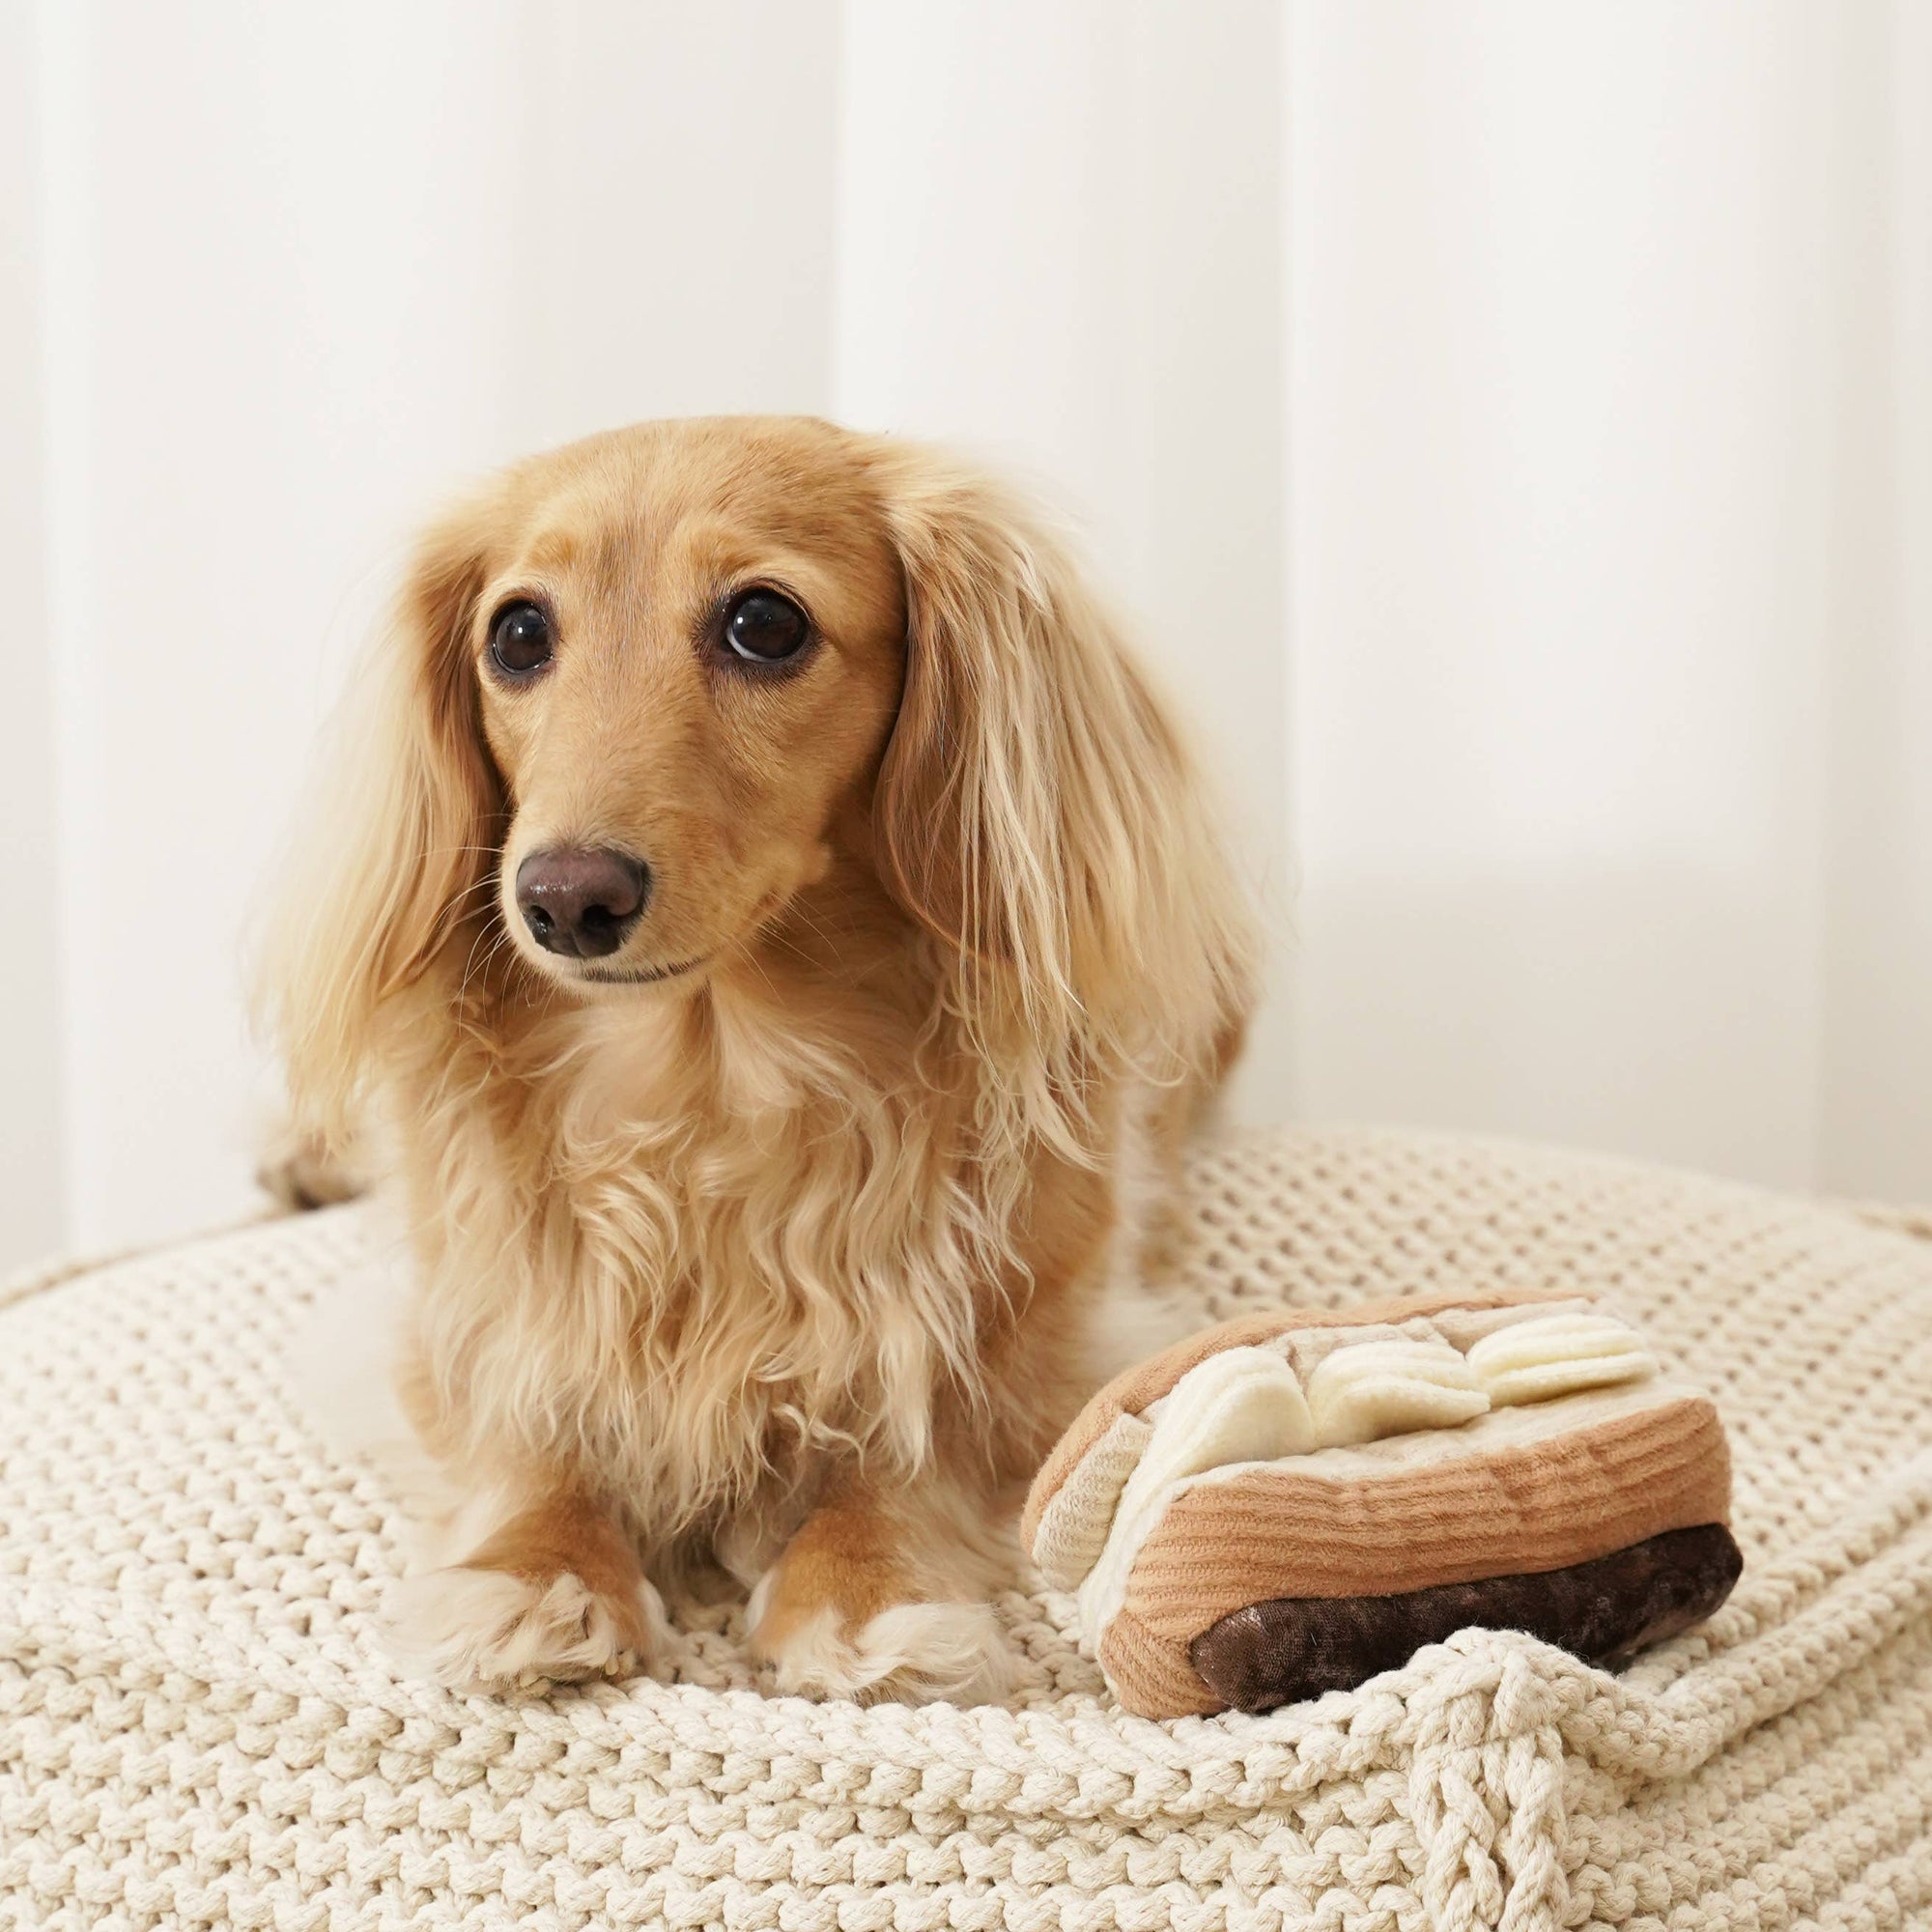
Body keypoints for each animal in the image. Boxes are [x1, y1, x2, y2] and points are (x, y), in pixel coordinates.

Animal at [261, 415, 1252, 1700]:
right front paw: (534, 1572)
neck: (709, 1080)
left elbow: (916, 1426)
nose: (563, 899)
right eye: (517, 633)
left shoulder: (1050, 1329)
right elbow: (521, 1419)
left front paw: (864, 1588)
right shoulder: (457, 1304)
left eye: (763, 622)